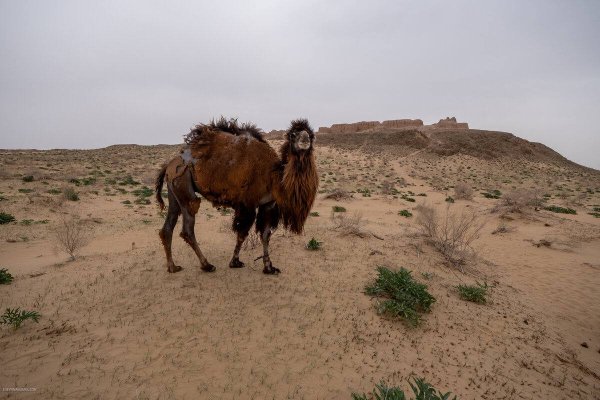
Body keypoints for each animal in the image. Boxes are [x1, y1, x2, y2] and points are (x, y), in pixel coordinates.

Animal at [155, 118, 318, 276]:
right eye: (293, 135)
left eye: (311, 135)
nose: (305, 140)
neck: (275, 177)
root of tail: (168, 165)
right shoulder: (248, 203)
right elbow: (242, 233)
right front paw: (235, 262)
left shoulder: (268, 204)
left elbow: (265, 235)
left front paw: (269, 268)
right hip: (184, 185)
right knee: (188, 227)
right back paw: (207, 265)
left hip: (174, 192)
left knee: (167, 227)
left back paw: (172, 267)